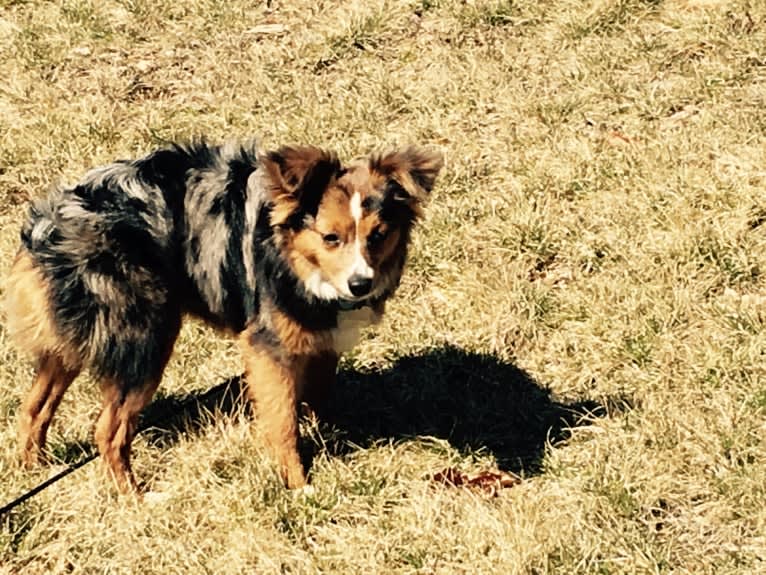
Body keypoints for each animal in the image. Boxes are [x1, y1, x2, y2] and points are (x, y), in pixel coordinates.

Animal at [4, 142, 444, 492]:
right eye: (330, 237)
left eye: (378, 235)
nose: (359, 284)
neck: (293, 257)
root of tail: (47, 225)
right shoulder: (267, 347)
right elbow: (283, 421)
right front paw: (298, 485)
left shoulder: (319, 340)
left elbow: (317, 397)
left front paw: (328, 437)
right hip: (145, 339)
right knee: (108, 432)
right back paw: (135, 497)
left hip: (73, 340)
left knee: (34, 407)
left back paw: (34, 468)